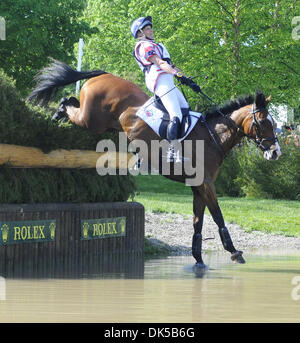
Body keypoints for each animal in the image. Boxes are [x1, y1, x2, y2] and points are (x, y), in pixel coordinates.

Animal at [27, 59, 282, 270]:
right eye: (263, 122)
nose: (276, 152)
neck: (213, 136)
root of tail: (103, 75)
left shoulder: (198, 186)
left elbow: (198, 222)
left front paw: (198, 259)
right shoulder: (206, 183)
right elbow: (218, 215)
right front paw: (233, 251)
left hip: (101, 123)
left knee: (71, 100)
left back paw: (57, 114)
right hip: (92, 121)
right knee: (69, 104)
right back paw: (57, 113)